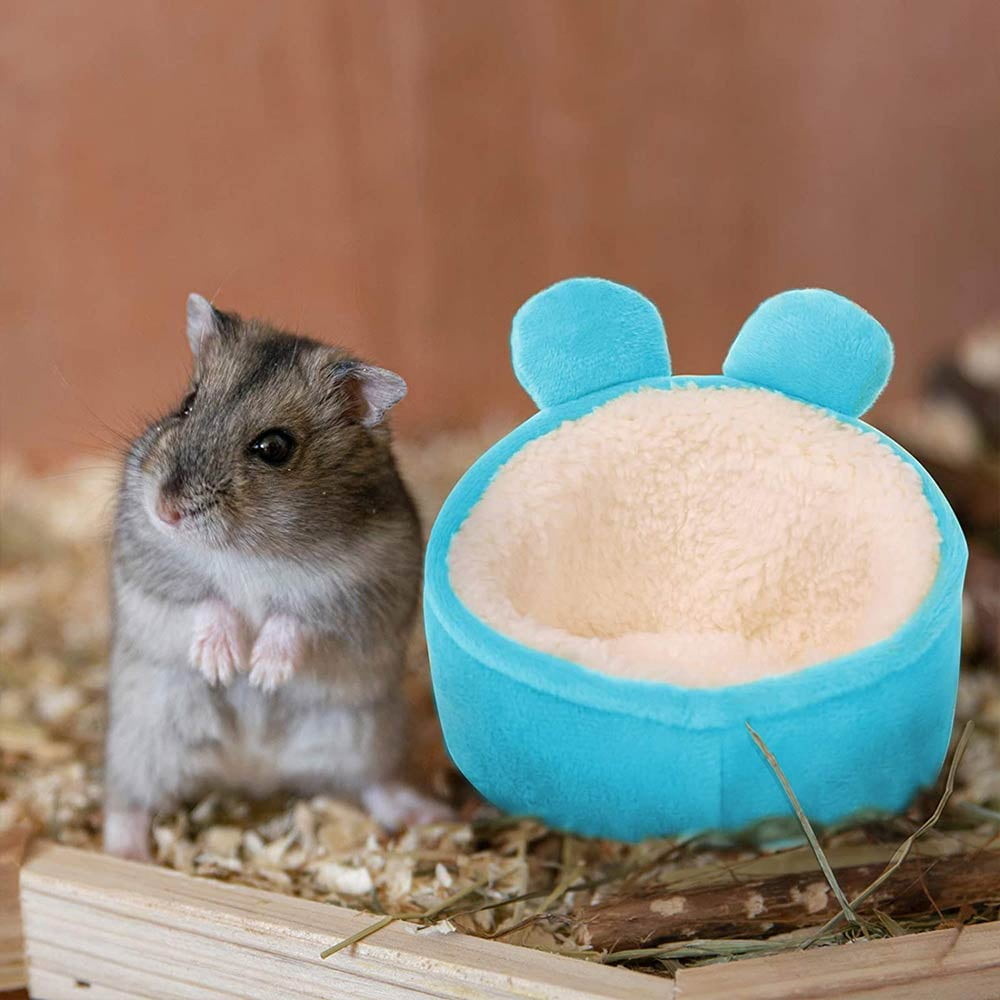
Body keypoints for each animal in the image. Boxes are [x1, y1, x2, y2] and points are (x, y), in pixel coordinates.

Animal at [103, 293, 450, 860]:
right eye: (187, 403)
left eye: (274, 448)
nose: (165, 511)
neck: (249, 550)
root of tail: (252, 772)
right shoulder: (149, 570)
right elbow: (205, 601)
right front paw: (224, 665)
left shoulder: (360, 593)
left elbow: (297, 618)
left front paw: (263, 672)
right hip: (142, 737)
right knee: (127, 801)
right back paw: (126, 854)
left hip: (364, 735)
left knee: (374, 784)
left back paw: (429, 814)